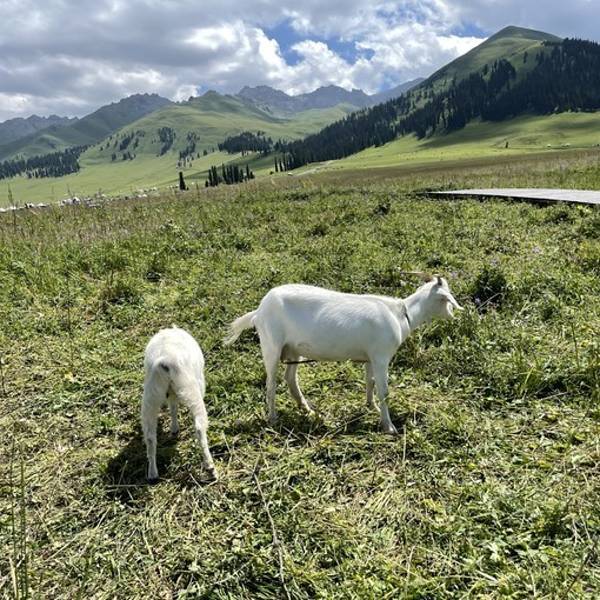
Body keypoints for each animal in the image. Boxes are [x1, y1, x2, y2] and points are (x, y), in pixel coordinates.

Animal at [142, 326, 216, 482]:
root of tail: (164, 362)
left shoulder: (171, 393)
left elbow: (173, 407)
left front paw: (174, 428)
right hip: (191, 389)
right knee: (199, 428)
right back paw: (210, 468)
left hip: (151, 396)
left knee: (150, 436)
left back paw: (152, 473)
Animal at [224, 274, 462, 434]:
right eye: (447, 299)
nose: (453, 315)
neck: (402, 314)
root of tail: (258, 311)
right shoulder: (381, 356)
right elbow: (384, 390)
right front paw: (389, 426)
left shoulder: (370, 356)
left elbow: (370, 382)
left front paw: (371, 406)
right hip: (271, 345)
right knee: (271, 383)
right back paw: (273, 418)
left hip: (292, 349)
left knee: (290, 378)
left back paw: (307, 409)